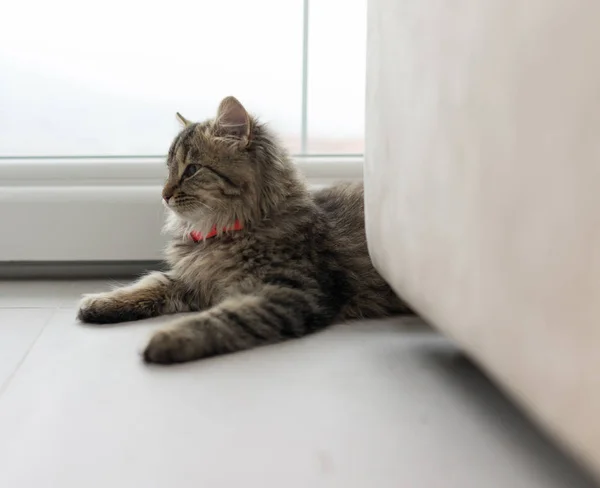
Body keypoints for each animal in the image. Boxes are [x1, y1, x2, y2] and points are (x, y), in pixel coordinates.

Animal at [77, 95, 410, 362]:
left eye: (192, 170)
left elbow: (222, 319)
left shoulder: (290, 293)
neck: (221, 231)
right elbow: (150, 283)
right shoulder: (193, 280)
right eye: (169, 171)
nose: (164, 194)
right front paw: (101, 303)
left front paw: (166, 338)